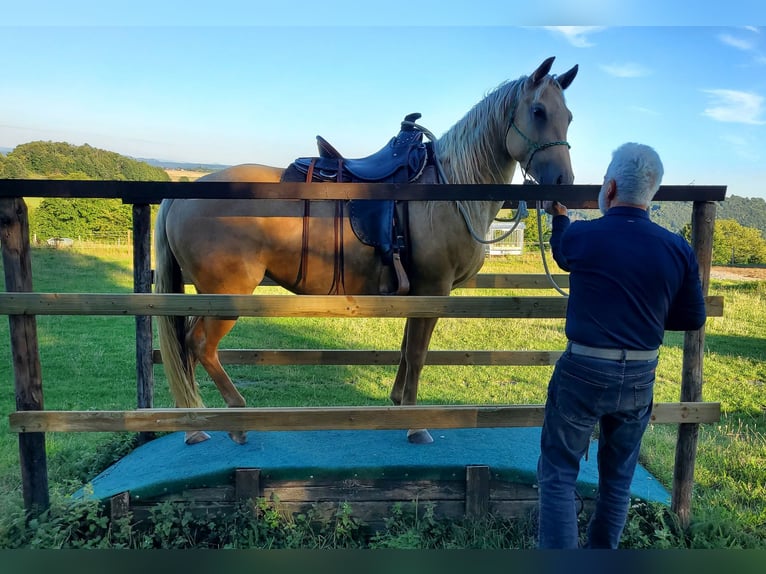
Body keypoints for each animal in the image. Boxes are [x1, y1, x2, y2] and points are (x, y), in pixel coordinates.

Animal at [153, 57, 580, 446]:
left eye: (569, 117)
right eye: (538, 111)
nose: (564, 183)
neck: (448, 190)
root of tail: (181, 194)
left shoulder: (419, 294)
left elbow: (407, 350)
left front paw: (398, 403)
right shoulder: (434, 289)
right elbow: (418, 353)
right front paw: (415, 425)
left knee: (186, 345)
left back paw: (196, 425)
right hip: (228, 296)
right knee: (200, 346)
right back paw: (236, 422)